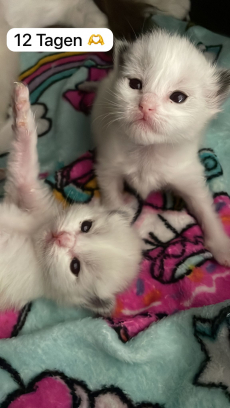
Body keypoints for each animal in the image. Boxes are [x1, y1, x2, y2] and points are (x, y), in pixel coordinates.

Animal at [0, 82, 142, 312]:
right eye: (86, 226)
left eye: (75, 266)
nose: (61, 238)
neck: (33, 235)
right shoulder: (27, 196)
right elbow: (24, 155)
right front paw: (21, 104)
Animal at [91, 31, 230, 268]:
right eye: (135, 84)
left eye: (178, 97)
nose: (145, 104)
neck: (148, 151)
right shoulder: (108, 165)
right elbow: (112, 198)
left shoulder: (189, 176)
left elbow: (205, 207)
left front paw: (221, 245)